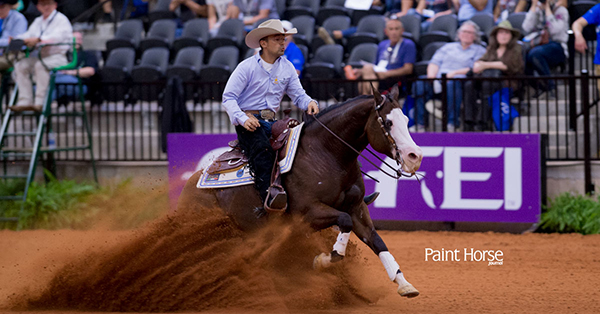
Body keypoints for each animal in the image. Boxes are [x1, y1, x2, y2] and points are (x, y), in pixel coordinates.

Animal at [176, 84, 424, 298]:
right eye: (388, 122)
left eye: (406, 119)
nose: (415, 156)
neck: (327, 153)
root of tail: (191, 186)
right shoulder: (307, 214)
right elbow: (344, 222)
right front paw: (325, 259)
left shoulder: (357, 208)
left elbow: (376, 240)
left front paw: (404, 283)